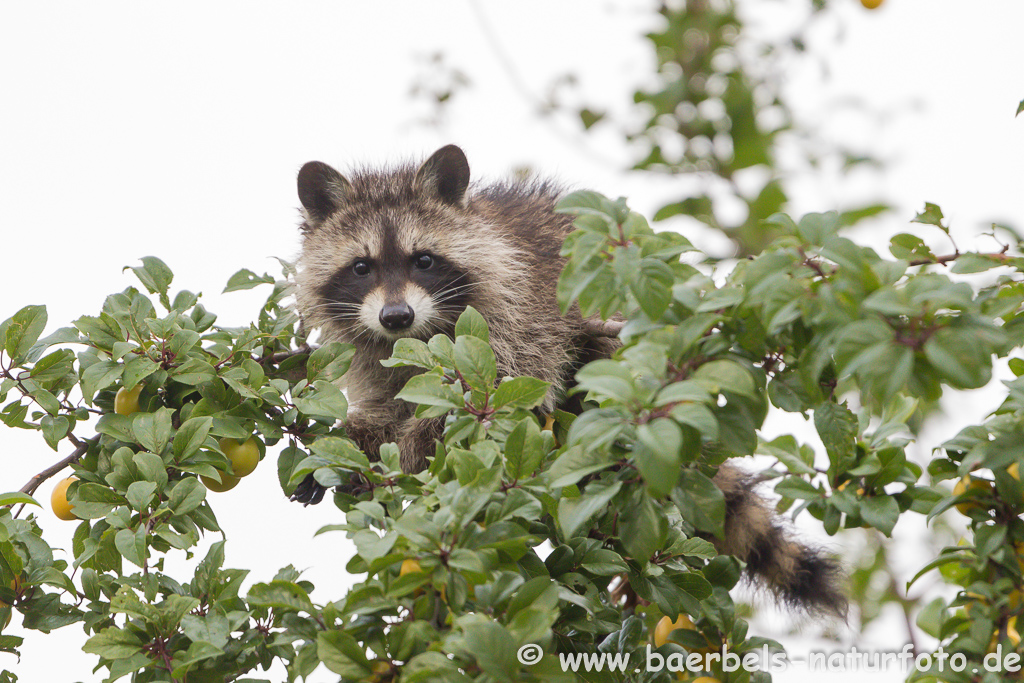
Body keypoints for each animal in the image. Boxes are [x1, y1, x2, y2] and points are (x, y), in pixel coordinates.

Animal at [292, 144, 843, 614]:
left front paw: (404, 456)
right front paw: (355, 438)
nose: (396, 316)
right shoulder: (374, 354)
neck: (419, 335)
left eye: (422, 260)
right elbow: (386, 402)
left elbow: (498, 401)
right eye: (361, 267)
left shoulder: (521, 316)